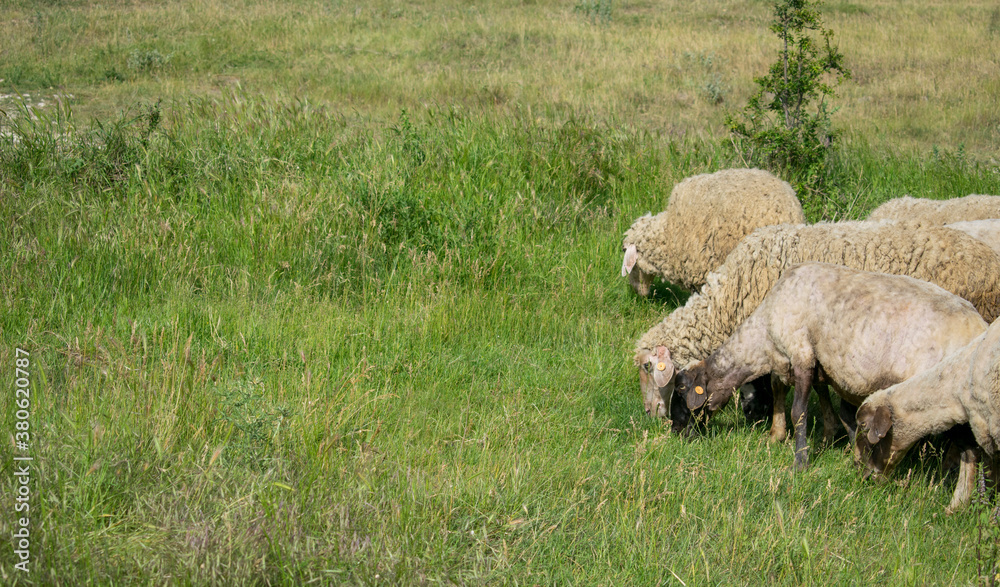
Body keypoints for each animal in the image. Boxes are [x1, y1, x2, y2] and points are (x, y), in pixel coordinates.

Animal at [669, 262, 988, 470]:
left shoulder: (800, 352)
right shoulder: (817, 363)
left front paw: (800, 462)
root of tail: (980, 326)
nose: (675, 432)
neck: (763, 336)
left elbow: (798, 411)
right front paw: (844, 443)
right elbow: (833, 408)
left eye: (682, 391)